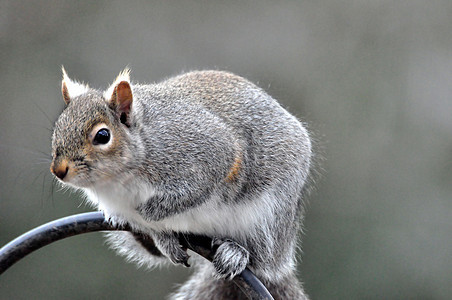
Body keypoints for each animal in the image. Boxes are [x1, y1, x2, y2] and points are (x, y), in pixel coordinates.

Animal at [49, 68, 310, 300]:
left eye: (103, 136)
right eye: (57, 130)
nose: (58, 170)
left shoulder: (209, 154)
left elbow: (193, 191)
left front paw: (149, 210)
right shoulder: (118, 209)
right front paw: (163, 237)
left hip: (268, 217)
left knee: (262, 260)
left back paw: (236, 252)